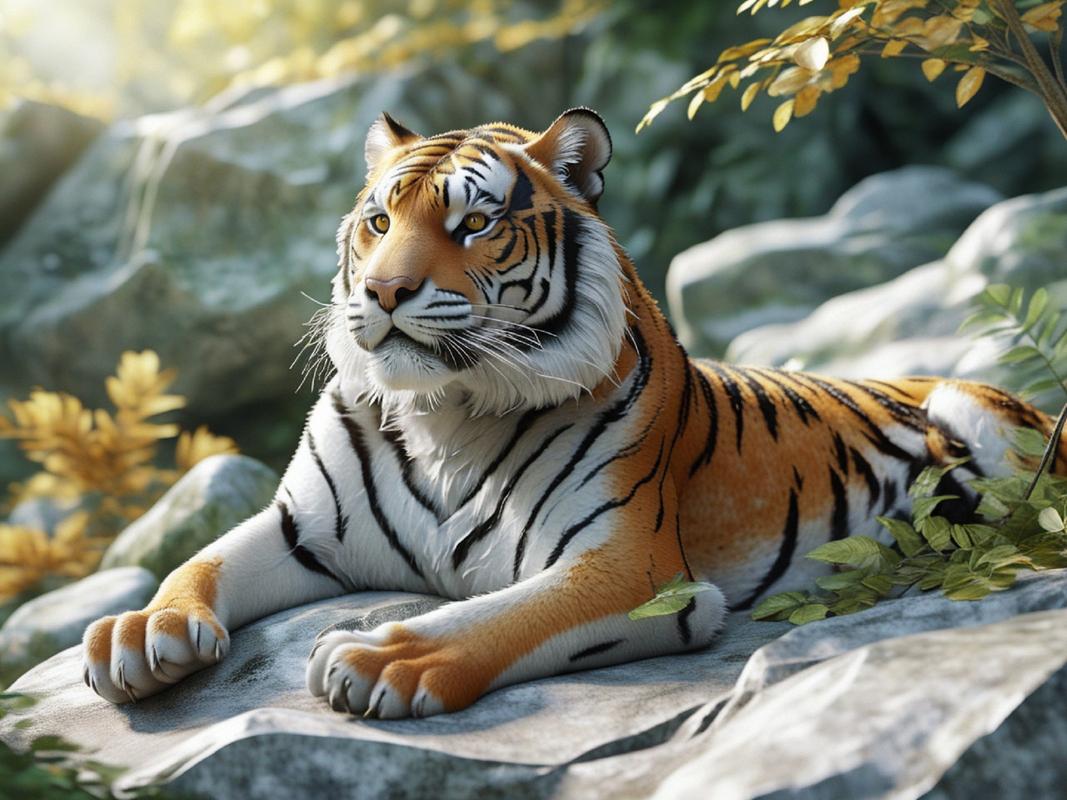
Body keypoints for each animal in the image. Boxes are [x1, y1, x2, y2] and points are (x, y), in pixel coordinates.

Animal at [82, 107, 1066, 719]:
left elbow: (500, 616)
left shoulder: (632, 567)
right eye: (377, 221)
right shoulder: (301, 528)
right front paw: (142, 632)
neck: (444, 413)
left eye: (473, 224)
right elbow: (201, 561)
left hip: (978, 413)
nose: (382, 292)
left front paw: (379, 658)